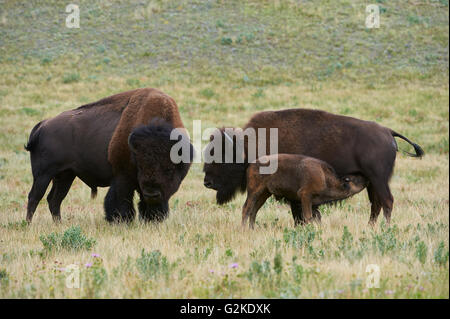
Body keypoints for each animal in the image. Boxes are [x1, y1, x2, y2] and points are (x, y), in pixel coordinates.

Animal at [25, 87, 192, 222]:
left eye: (169, 169)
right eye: (140, 165)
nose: (152, 194)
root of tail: (43, 125)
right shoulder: (122, 177)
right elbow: (120, 200)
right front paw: (121, 221)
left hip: (65, 175)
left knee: (54, 199)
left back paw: (58, 224)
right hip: (43, 175)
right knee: (35, 197)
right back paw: (28, 224)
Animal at [202, 109, 424, 226]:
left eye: (221, 157)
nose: (207, 182)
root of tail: (388, 132)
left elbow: (300, 214)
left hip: (378, 179)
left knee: (386, 201)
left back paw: (384, 228)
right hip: (372, 182)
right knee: (375, 204)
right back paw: (370, 227)